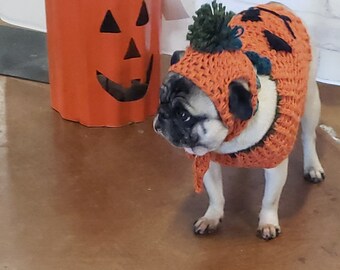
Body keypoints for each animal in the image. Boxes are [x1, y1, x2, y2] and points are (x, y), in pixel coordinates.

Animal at [153, 1, 324, 239]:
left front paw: (268, 223)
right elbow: (216, 195)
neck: (232, 135)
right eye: (161, 99)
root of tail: (277, 5)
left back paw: (312, 166)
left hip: (310, 101)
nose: (163, 115)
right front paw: (212, 217)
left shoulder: (275, 167)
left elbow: (270, 199)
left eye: (184, 115)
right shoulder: (207, 161)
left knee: (309, 137)